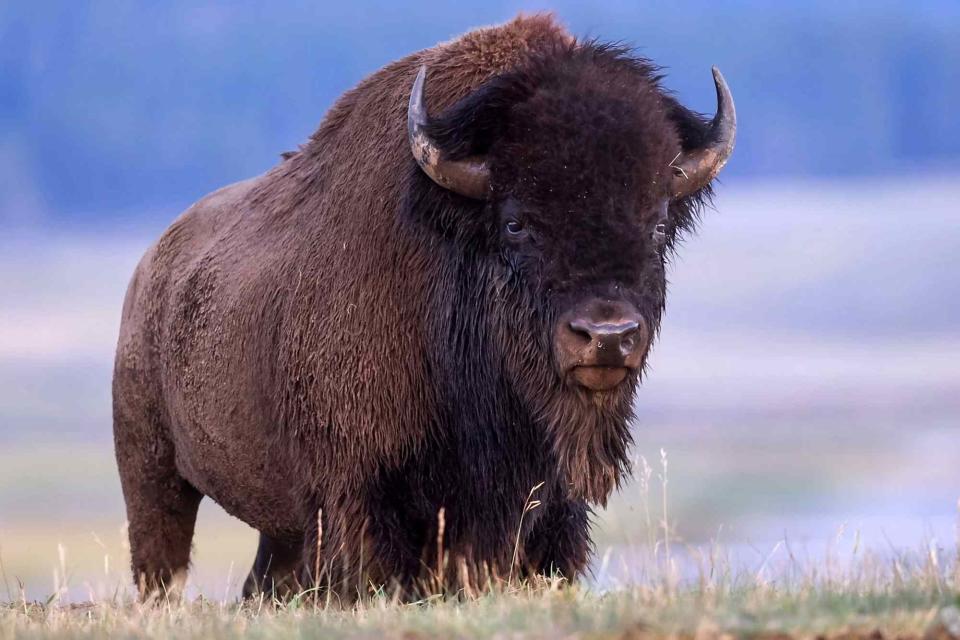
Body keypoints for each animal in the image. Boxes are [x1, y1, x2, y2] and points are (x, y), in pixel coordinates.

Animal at [116, 15, 740, 600]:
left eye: (658, 224)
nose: (606, 335)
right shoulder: (360, 499)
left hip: (278, 529)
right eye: (515, 223)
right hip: (152, 473)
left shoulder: (548, 511)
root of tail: (149, 268)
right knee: (161, 560)